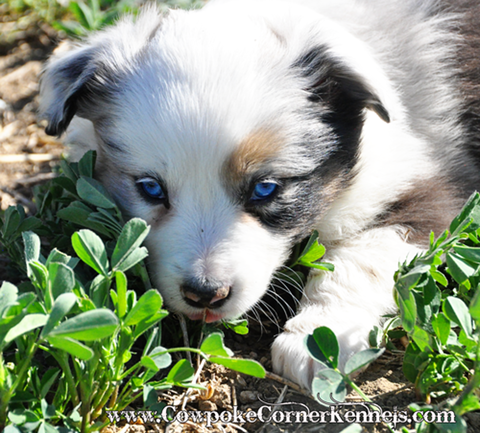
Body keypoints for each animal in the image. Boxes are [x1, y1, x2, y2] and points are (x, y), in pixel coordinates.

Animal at [39, 0, 480, 390]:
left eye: (265, 189)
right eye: (151, 188)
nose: (205, 294)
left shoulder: (425, 191)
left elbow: (358, 259)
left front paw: (317, 337)